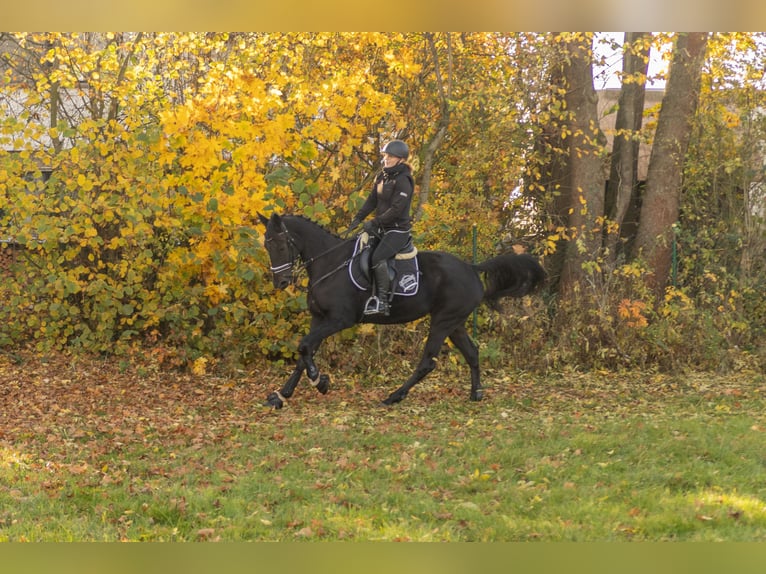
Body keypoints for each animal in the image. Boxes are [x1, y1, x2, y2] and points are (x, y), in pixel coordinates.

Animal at [260, 213, 544, 410]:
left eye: (281, 245)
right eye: (267, 246)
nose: (281, 282)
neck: (330, 264)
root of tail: (471, 267)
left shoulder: (339, 319)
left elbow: (305, 346)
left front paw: (320, 382)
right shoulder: (319, 318)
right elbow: (304, 351)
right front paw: (282, 395)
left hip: (443, 321)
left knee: (427, 361)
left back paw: (394, 396)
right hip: (455, 323)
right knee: (472, 352)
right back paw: (476, 394)